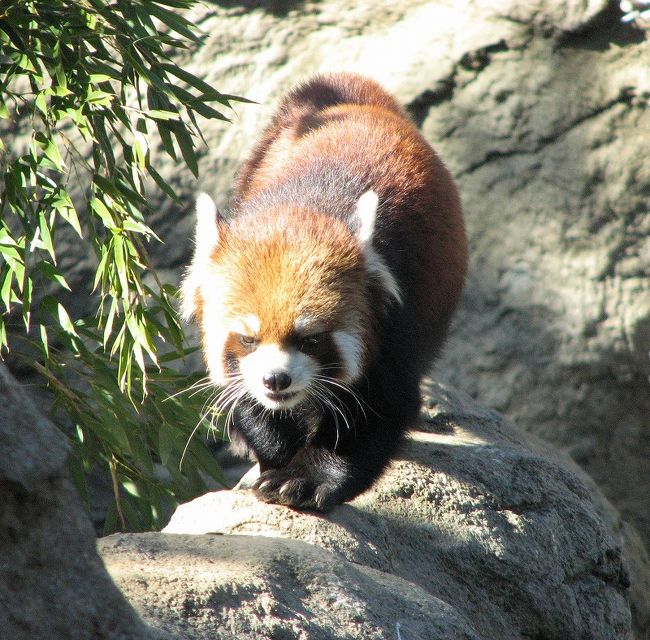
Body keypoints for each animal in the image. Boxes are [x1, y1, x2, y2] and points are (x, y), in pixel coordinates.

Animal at [181, 71, 466, 510]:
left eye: (311, 339)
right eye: (247, 338)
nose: (276, 380)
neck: (306, 204)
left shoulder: (395, 319)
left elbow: (379, 408)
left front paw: (304, 477)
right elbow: (250, 400)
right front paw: (274, 455)